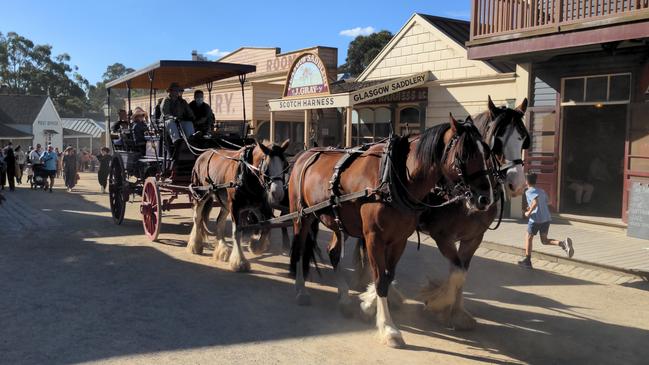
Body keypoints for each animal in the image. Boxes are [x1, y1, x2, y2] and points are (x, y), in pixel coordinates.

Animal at [187, 141, 288, 272]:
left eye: (284, 165)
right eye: (266, 167)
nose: (278, 193)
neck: (247, 174)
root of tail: (202, 155)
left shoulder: (258, 205)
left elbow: (266, 226)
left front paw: (255, 246)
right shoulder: (235, 206)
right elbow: (237, 232)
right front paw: (239, 261)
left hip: (224, 201)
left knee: (219, 221)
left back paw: (223, 249)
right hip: (201, 194)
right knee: (197, 217)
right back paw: (195, 245)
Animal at [288, 116, 492, 346]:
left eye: (486, 153)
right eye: (463, 155)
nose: (485, 198)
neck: (394, 178)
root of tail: (305, 153)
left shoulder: (399, 239)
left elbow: (388, 276)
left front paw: (369, 307)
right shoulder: (374, 237)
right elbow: (379, 279)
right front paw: (388, 327)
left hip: (337, 222)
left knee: (333, 252)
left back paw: (344, 298)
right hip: (301, 217)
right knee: (299, 249)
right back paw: (301, 290)